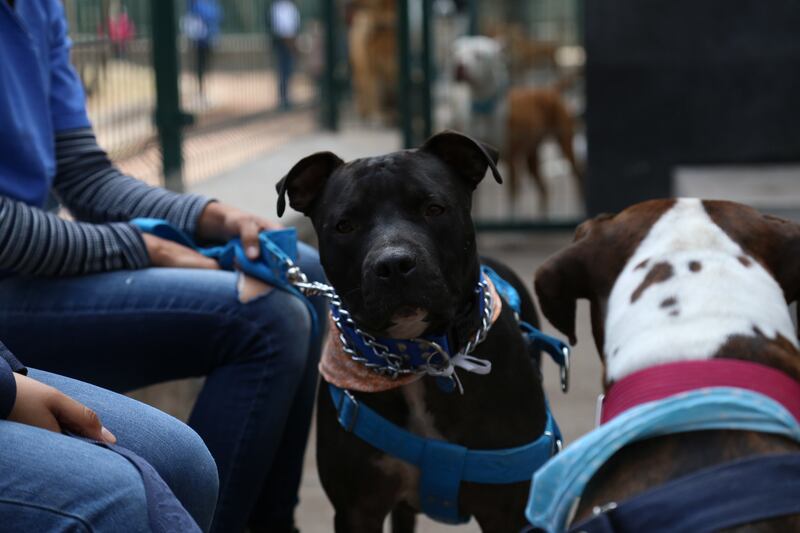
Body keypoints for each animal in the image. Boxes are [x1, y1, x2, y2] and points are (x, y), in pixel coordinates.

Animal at [278, 131, 552, 528]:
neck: (423, 355)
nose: (393, 264)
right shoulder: (358, 510)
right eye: (344, 225)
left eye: (434, 208)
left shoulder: (507, 510)